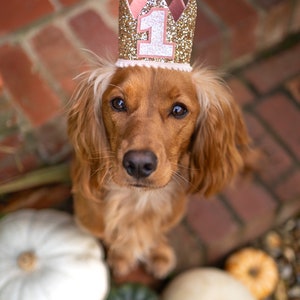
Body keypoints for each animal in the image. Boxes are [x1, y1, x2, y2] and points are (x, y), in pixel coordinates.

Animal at [67, 58, 253, 278]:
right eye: (118, 103)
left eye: (179, 110)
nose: (139, 164)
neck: (138, 201)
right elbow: (114, 238)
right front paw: (121, 256)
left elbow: (157, 234)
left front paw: (159, 253)